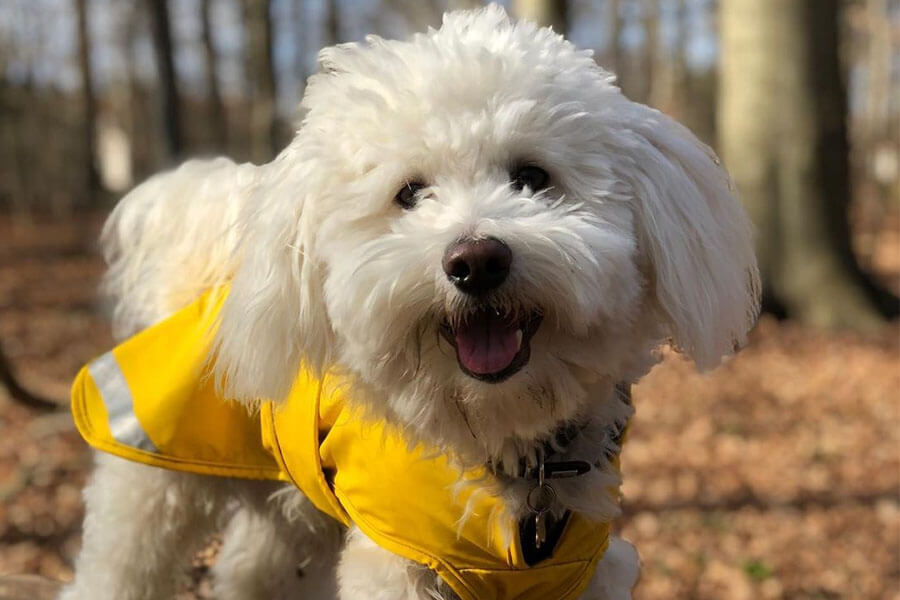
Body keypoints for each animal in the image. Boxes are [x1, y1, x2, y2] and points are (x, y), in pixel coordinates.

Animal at [59, 5, 756, 600]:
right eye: (410, 193)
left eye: (532, 178)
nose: (476, 261)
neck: (505, 448)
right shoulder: (401, 561)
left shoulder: (582, 570)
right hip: (151, 485)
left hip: (292, 517)